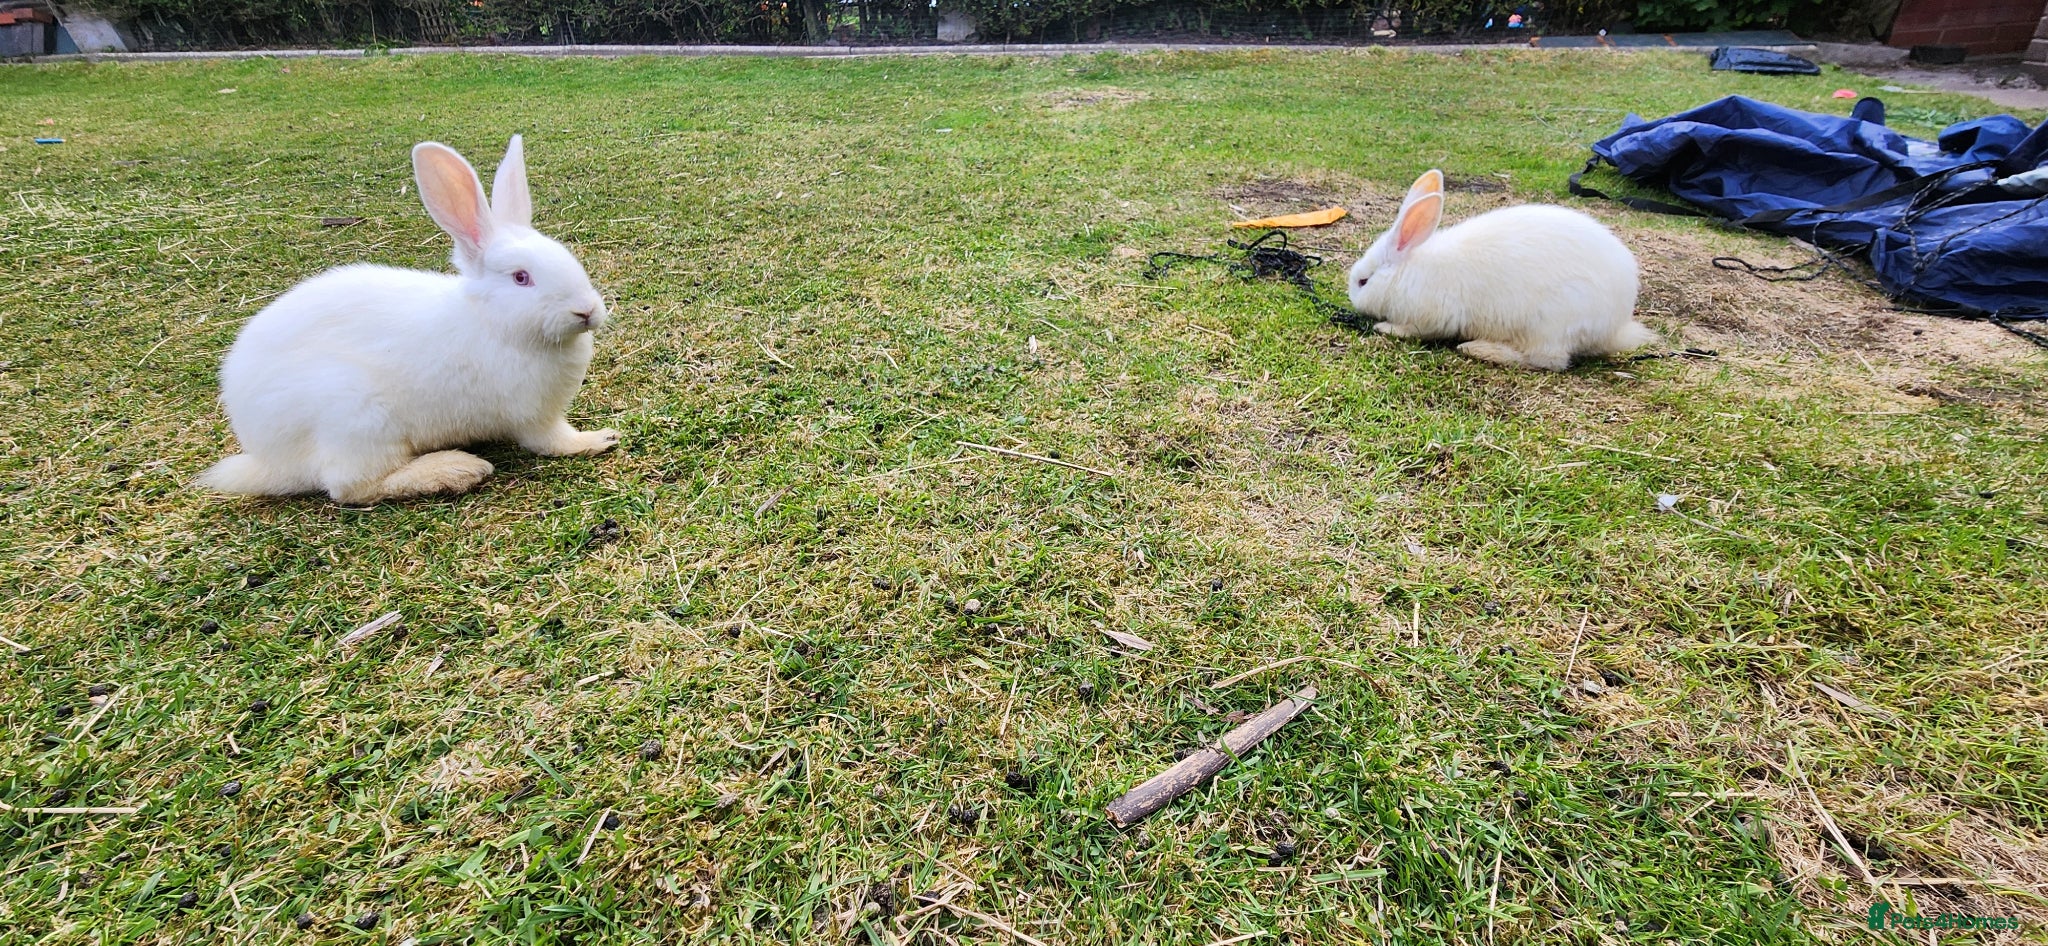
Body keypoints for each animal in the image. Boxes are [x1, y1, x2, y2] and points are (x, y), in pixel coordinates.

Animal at [197, 135, 618, 505]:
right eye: (521, 277)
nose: (587, 310)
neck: (494, 324)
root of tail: (265, 456)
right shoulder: (534, 416)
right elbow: (553, 441)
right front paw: (599, 439)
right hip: (357, 419)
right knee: (351, 487)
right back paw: (453, 470)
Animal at [1346, 169, 1656, 371]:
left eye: (1363, 281)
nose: (1352, 300)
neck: (1406, 272)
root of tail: (1615, 327)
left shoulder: (1433, 316)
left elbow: (1416, 330)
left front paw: (1386, 327)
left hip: (1550, 325)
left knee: (1548, 361)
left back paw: (1480, 349)